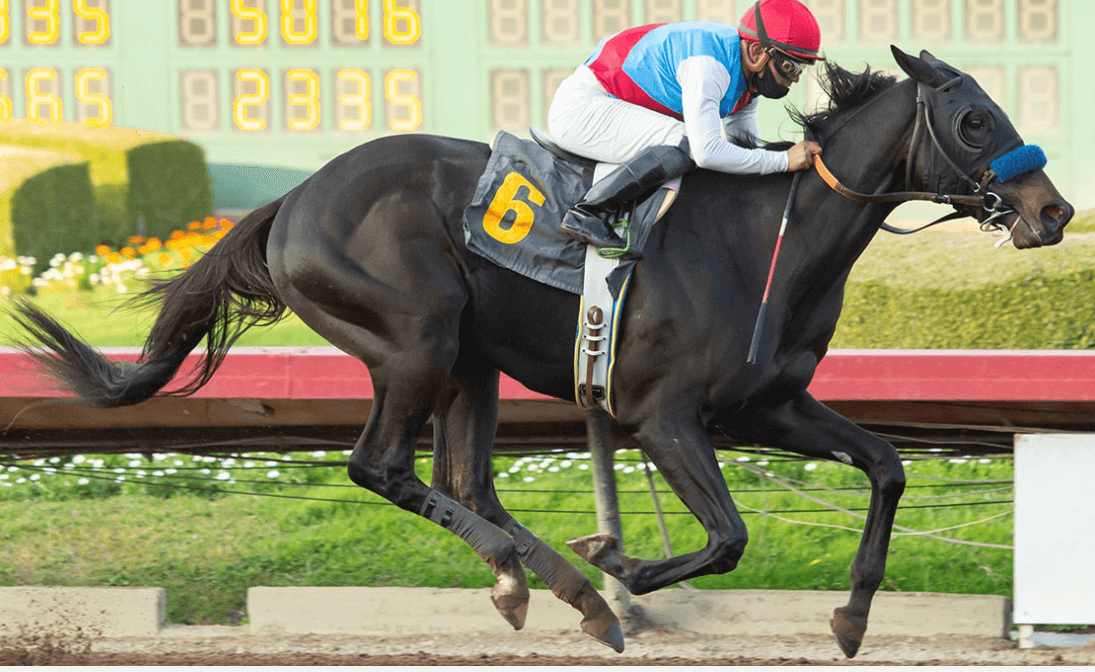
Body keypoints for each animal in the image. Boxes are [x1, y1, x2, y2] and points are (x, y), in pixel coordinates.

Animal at [10, 47, 1072, 658]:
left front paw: (850, 618)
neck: (766, 239)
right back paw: (569, 589)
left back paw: (549, 588)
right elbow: (727, 537)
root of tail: (294, 197)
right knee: (381, 466)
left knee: (465, 481)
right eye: (974, 119)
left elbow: (887, 465)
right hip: (416, 337)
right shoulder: (660, 416)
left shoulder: (767, 404)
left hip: (468, 360)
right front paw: (624, 566)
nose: (1054, 211)